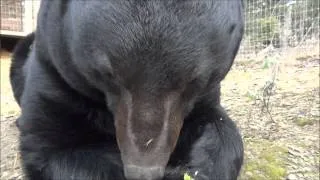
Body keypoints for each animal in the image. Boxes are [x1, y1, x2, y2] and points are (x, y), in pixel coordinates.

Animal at [10, 0, 245, 179]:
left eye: (193, 81)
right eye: (108, 74)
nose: (143, 171)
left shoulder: (203, 95)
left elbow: (219, 126)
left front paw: (198, 166)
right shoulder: (54, 71)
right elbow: (50, 149)